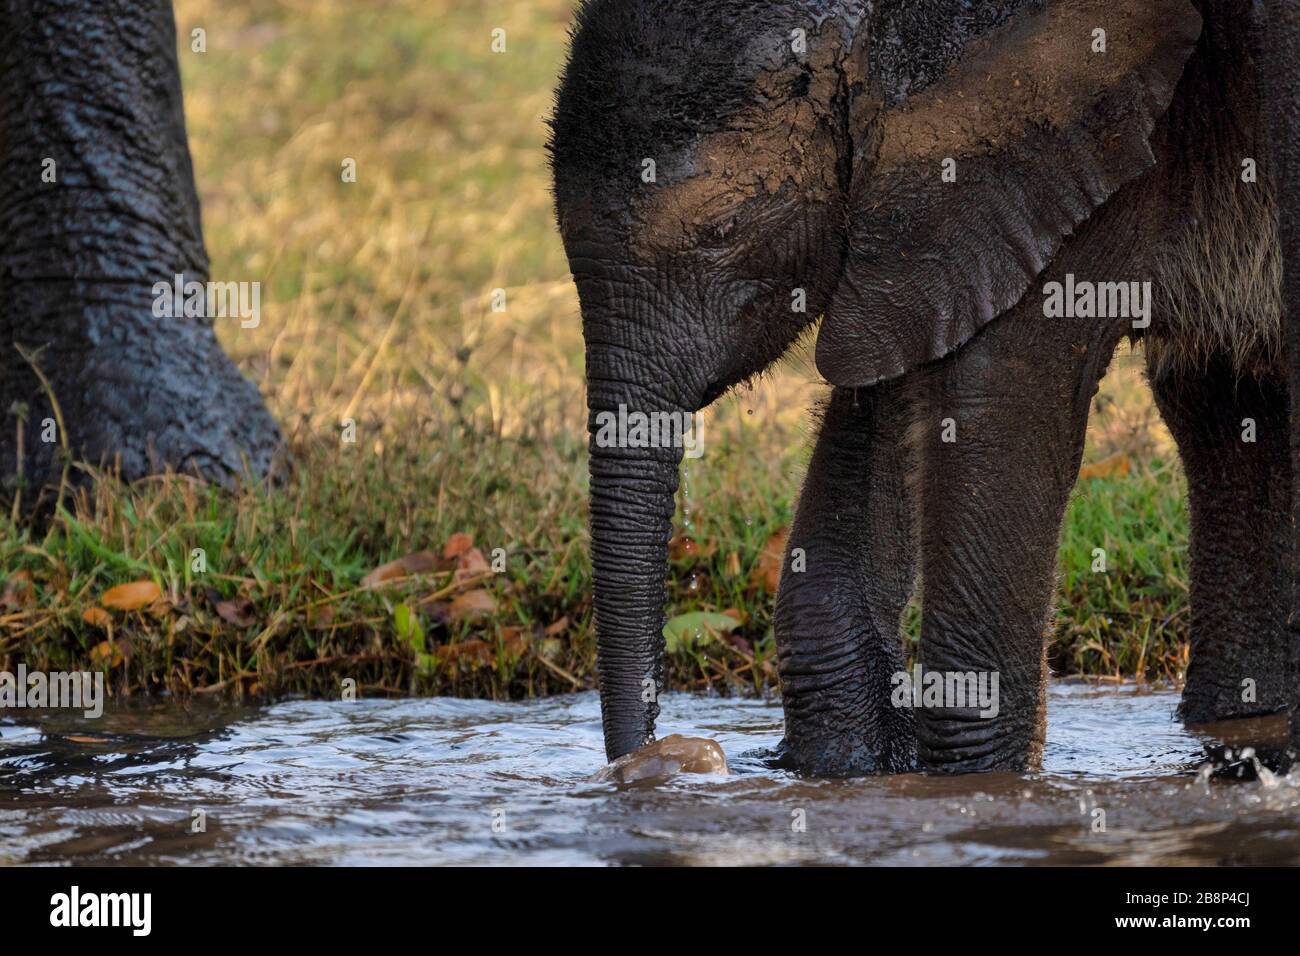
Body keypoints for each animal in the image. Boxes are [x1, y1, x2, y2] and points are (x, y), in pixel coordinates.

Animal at [551, 0, 1300, 775]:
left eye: (722, 230)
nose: (661, 757)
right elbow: (896, 378)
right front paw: (855, 763)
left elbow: (995, 399)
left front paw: (973, 787)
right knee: (1220, 399)